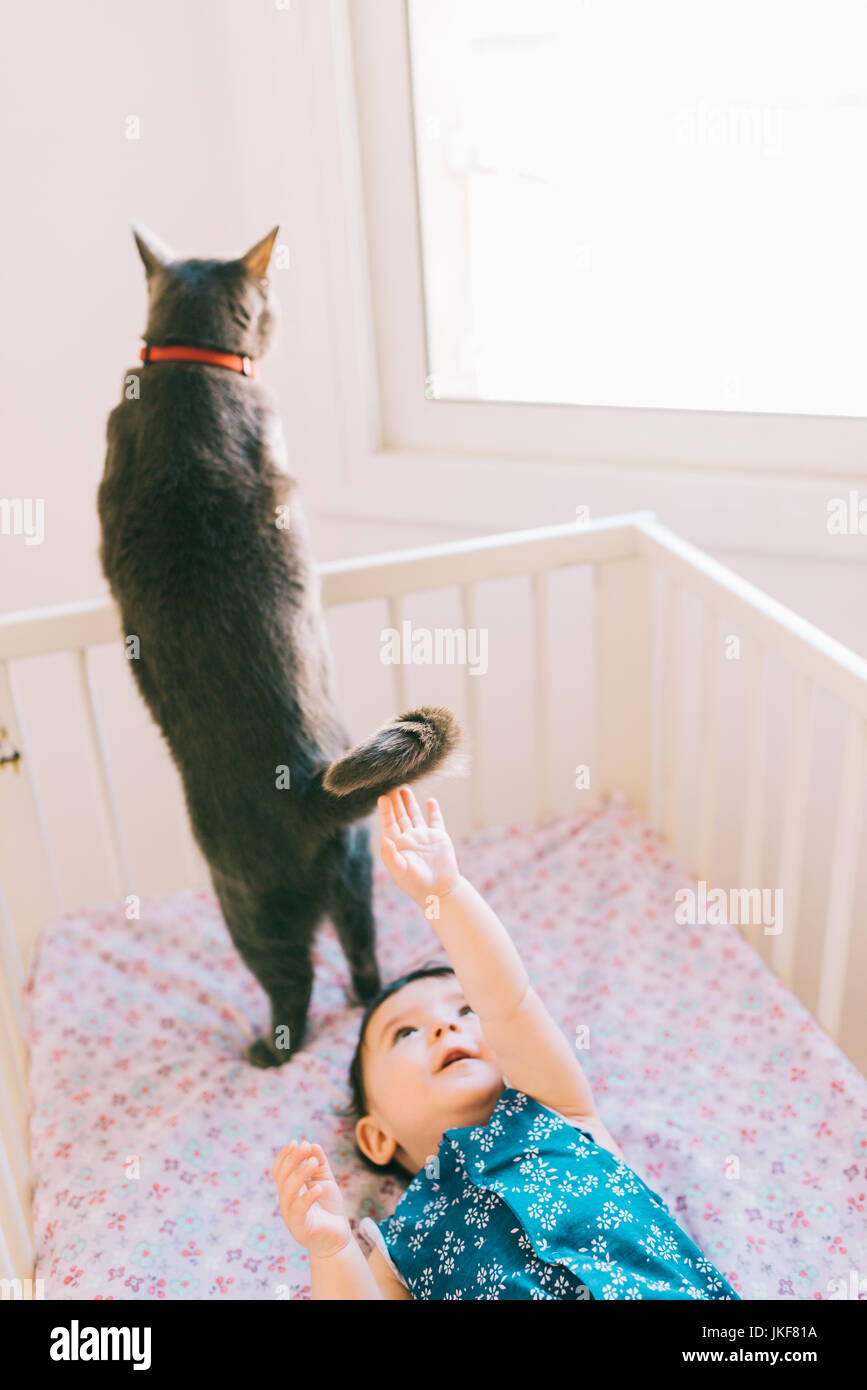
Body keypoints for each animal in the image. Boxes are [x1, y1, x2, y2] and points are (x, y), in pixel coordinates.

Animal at [97, 225, 461, 1061]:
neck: (191, 367)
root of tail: (309, 791)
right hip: (356, 872)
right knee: (362, 958)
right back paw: (363, 996)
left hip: (245, 908)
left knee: (291, 988)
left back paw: (267, 1050)